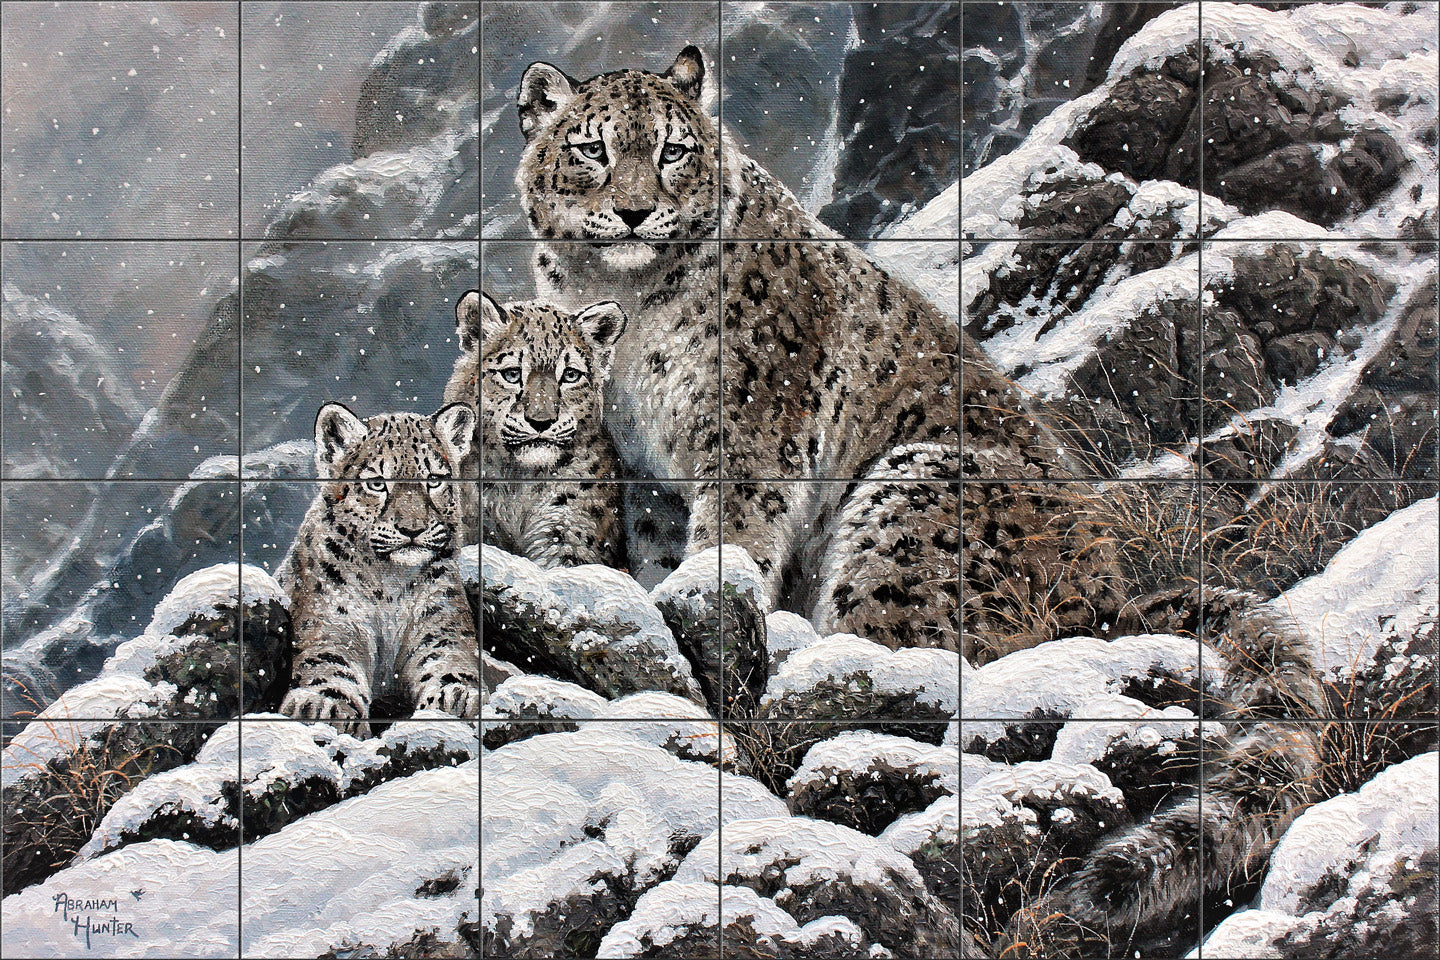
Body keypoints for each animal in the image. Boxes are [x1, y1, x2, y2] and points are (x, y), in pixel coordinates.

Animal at [278, 401, 482, 736]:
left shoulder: (440, 622)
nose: (412, 528)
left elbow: (450, 659)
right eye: (376, 483)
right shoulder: (332, 622)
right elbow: (330, 661)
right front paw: (324, 703)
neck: (390, 584)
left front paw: (455, 695)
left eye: (434, 479)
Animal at [512, 46, 1328, 959]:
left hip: (914, 495)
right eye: (591, 147)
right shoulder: (644, 471)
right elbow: (656, 549)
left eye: (673, 149)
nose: (633, 210)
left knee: (923, 654)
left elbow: (738, 534)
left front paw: (713, 596)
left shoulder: (756, 427)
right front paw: (655, 600)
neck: (635, 315)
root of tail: (1113, 592)